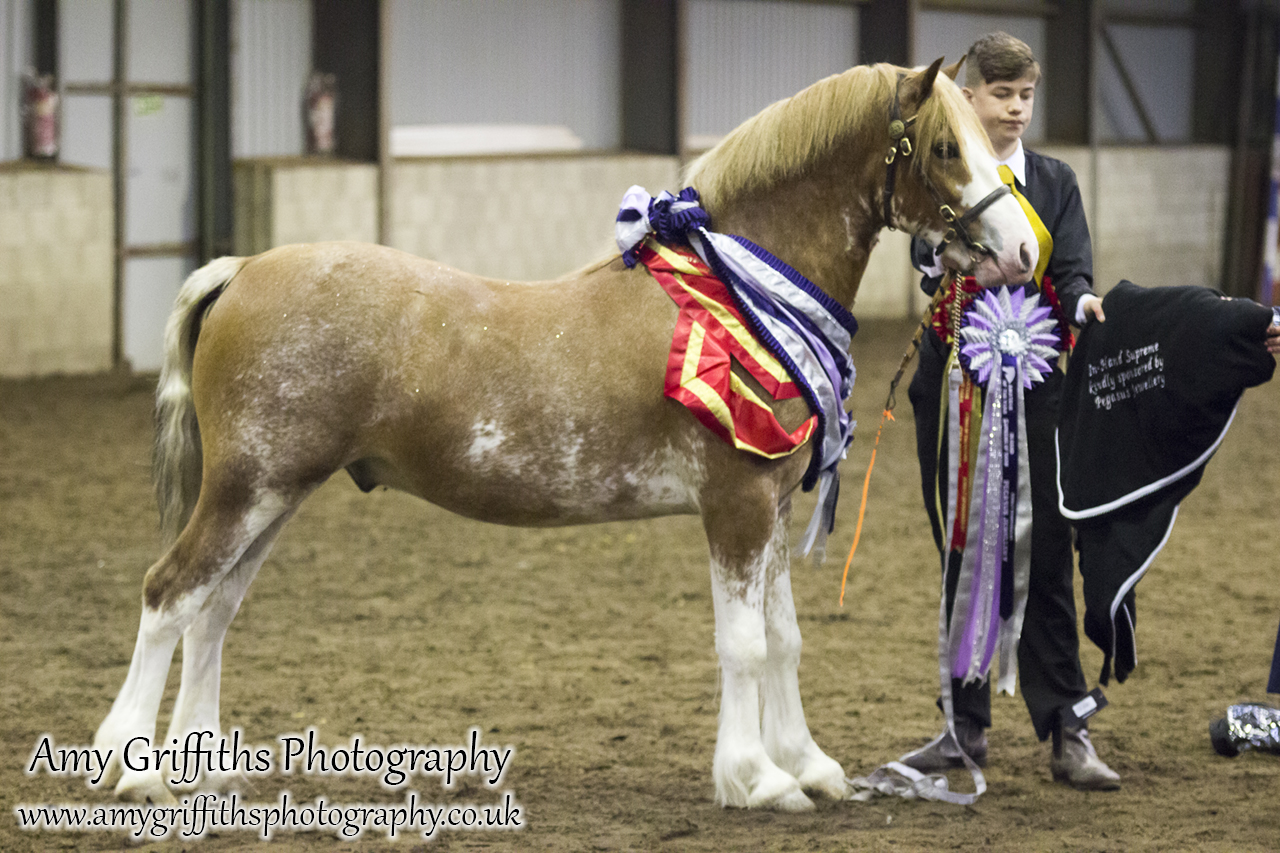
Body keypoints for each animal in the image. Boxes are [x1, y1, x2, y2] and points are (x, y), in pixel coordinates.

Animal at [94, 56, 1034, 809]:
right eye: (944, 148)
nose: (1024, 250)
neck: (744, 287)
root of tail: (244, 269)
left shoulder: (771, 502)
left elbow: (784, 640)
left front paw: (806, 764)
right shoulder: (734, 503)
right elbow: (742, 642)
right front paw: (756, 779)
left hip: (273, 494)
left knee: (212, 613)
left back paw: (202, 766)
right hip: (248, 489)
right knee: (169, 594)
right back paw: (132, 768)